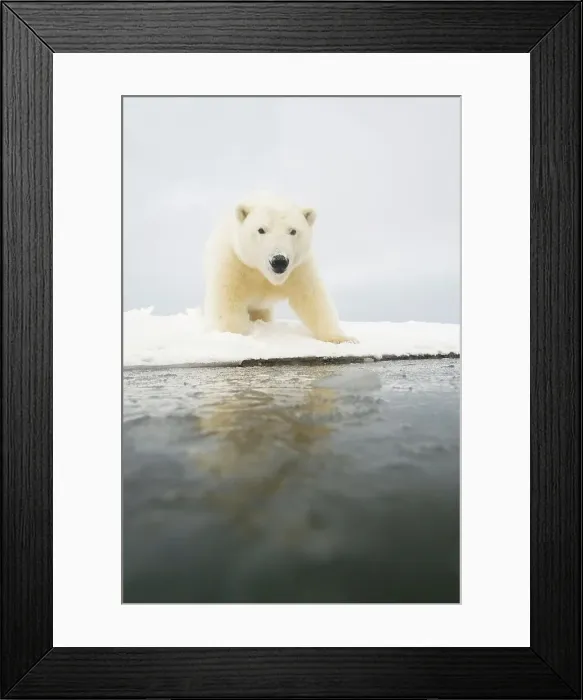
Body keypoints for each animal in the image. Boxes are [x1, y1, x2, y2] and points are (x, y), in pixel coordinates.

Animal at [203, 192, 357, 344]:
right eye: (261, 229)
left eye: (293, 231)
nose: (279, 261)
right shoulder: (234, 263)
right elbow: (228, 300)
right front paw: (235, 334)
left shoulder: (299, 268)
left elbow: (312, 298)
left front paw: (343, 338)